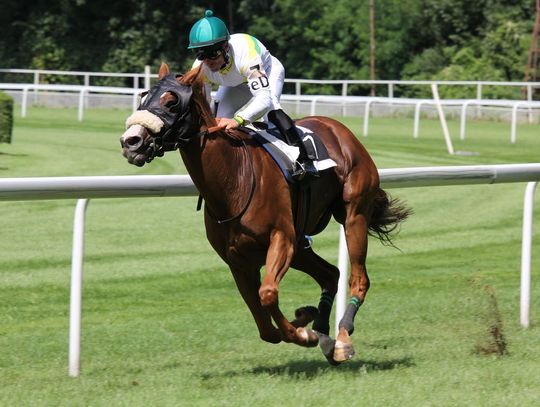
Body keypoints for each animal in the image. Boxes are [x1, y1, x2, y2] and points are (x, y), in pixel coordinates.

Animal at [121, 63, 410, 366]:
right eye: (143, 97)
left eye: (171, 102)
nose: (131, 142)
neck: (233, 180)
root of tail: (340, 129)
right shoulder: (238, 261)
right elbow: (264, 324)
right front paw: (305, 321)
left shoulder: (281, 238)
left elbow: (268, 294)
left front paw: (303, 332)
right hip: (301, 245)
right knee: (331, 274)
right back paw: (323, 334)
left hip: (353, 215)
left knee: (359, 278)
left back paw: (341, 339)